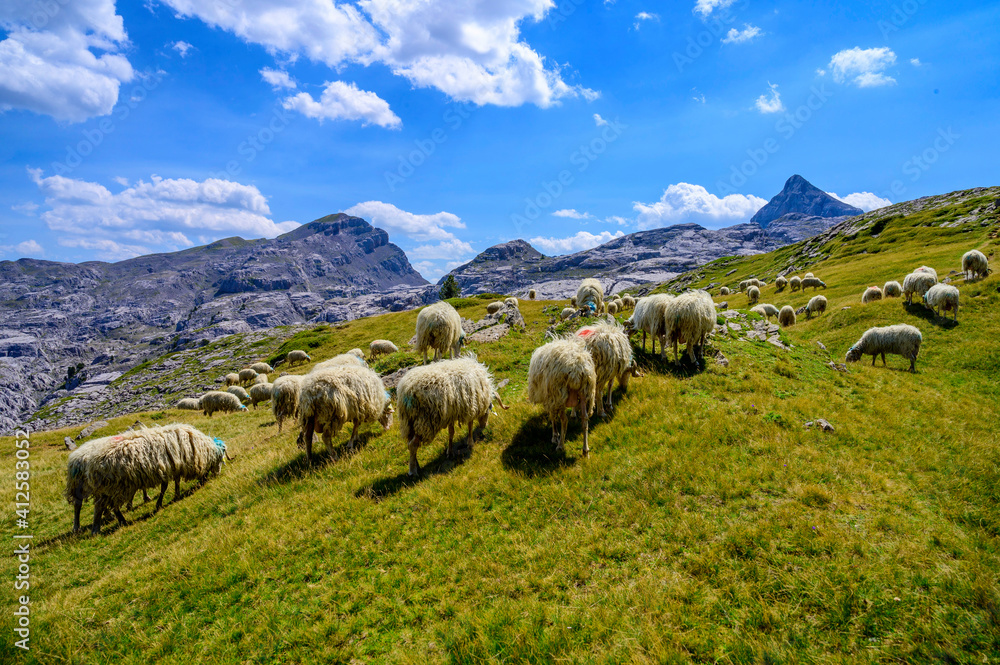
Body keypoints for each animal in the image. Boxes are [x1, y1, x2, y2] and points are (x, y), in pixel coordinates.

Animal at [70, 424, 229, 534]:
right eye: (220, 459)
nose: (218, 474)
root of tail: (92, 461)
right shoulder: (169, 468)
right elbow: (165, 487)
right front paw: (160, 503)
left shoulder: (171, 468)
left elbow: (173, 483)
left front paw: (173, 496)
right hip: (112, 486)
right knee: (98, 506)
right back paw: (96, 528)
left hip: (112, 488)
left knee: (107, 506)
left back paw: (119, 520)